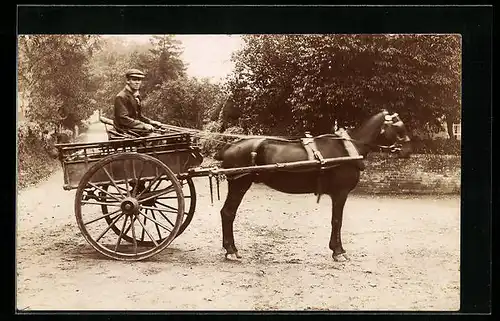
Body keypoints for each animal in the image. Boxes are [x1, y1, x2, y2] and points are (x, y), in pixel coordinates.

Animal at [213, 109, 412, 262]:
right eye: (398, 127)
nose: (408, 151)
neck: (347, 149)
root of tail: (230, 147)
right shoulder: (340, 193)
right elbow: (337, 221)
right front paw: (338, 251)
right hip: (239, 184)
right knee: (228, 213)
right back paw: (231, 250)